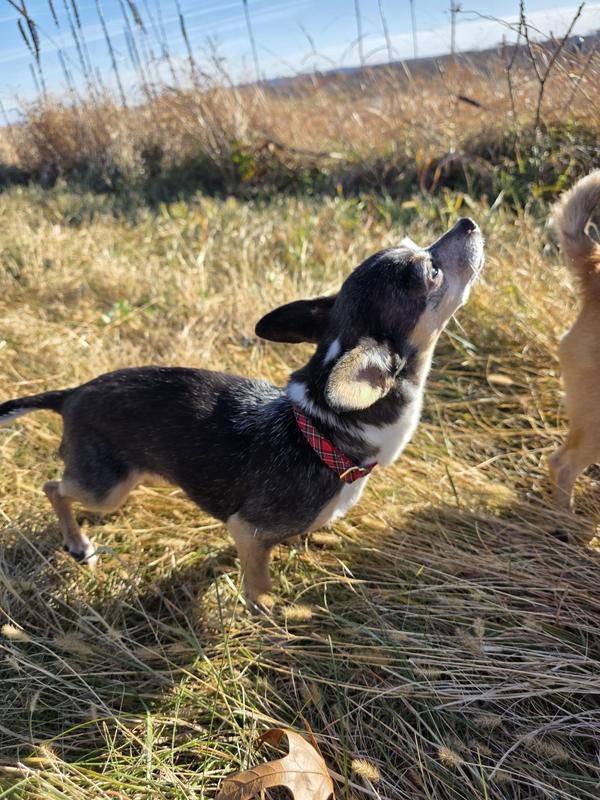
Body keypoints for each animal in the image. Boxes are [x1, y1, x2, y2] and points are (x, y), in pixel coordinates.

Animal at [0, 218, 484, 610]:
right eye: (432, 273)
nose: (468, 221)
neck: (322, 431)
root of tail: (72, 394)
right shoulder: (248, 529)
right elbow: (259, 581)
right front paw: (267, 612)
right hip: (107, 487)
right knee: (54, 487)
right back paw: (78, 542)